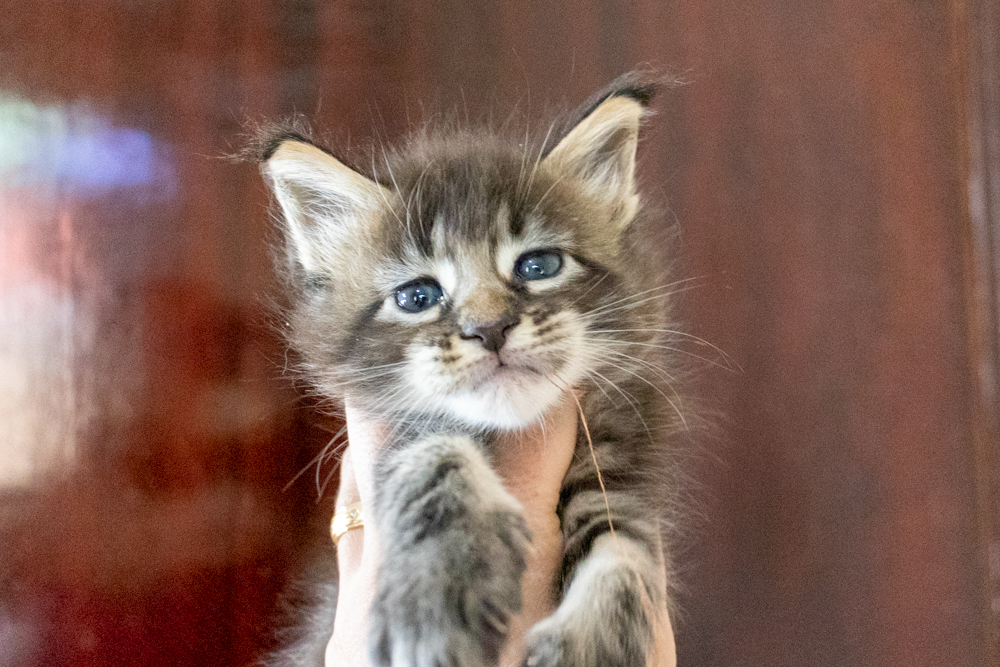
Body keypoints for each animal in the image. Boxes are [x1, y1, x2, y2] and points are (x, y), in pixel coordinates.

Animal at [256, 73, 688, 667]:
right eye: (418, 297)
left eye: (539, 266)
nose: (490, 328)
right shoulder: (390, 433)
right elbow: (434, 461)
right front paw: (435, 594)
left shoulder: (624, 461)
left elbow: (627, 555)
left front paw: (590, 641)